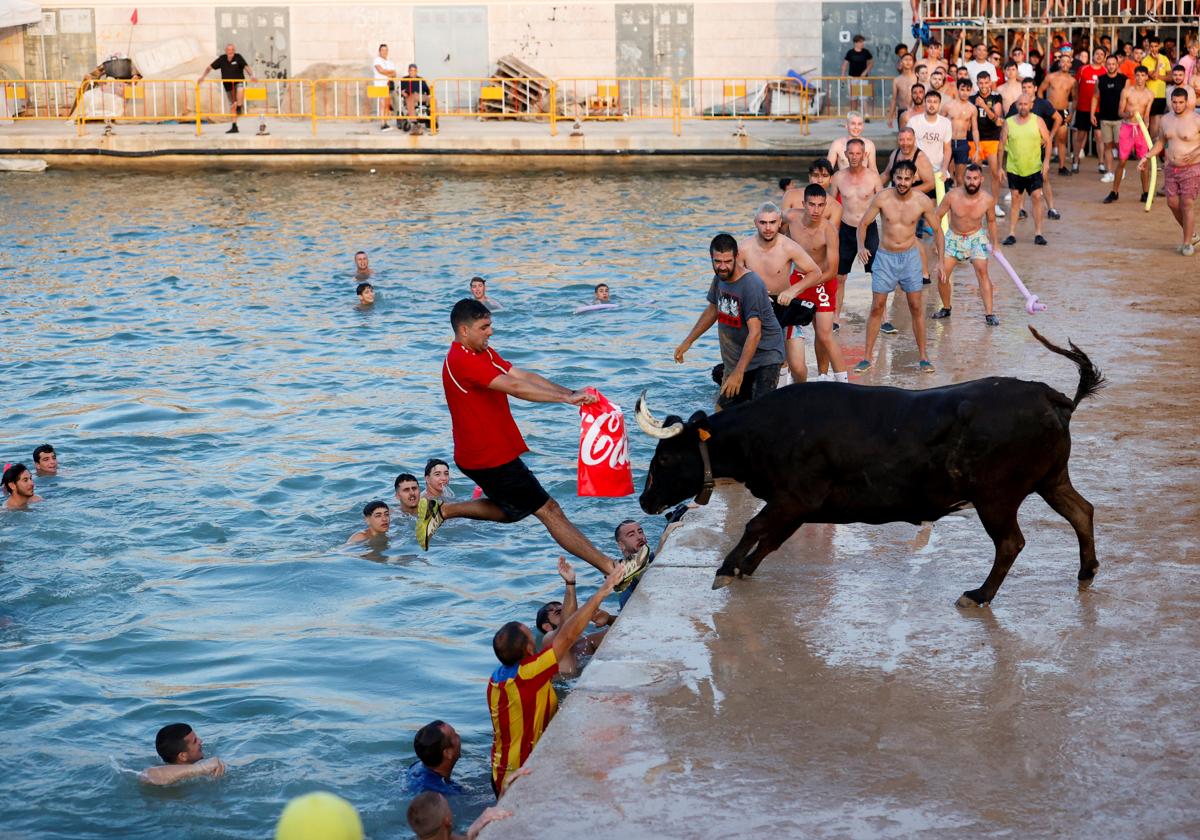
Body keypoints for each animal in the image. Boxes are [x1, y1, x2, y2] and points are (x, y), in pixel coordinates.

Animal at [638, 324, 1104, 607]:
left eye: (664, 458)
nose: (643, 502)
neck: (766, 429)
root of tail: (1049, 396)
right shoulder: (799, 507)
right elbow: (770, 538)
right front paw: (743, 568)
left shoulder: (794, 498)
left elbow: (755, 528)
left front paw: (725, 568)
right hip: (1051, 479)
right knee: (1082, 511)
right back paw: (1086, 571)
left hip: (996, 498)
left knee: (1011, 543)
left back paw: (979, 594)